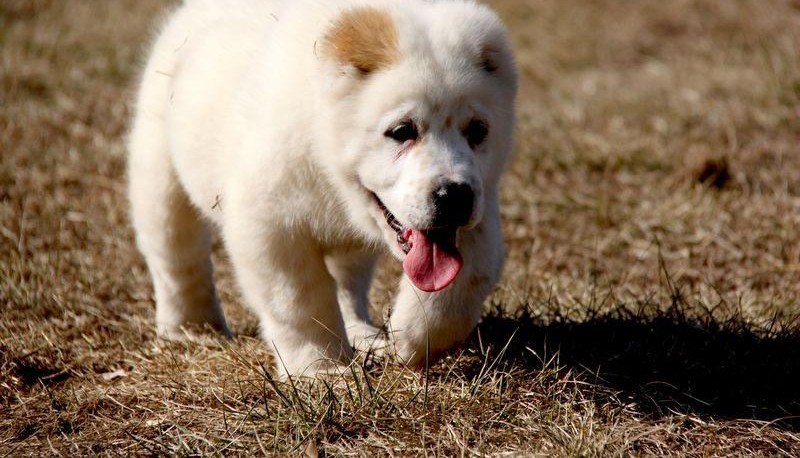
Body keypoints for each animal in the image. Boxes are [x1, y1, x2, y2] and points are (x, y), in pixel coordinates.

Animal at [130, 0, 520, 378]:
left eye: (478, 131)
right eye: (402, 131)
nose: (454, 197)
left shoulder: (480, 206)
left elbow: (467, 278)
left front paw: (413, 339)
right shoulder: (271, 223)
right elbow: (301, 301)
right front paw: (321, 367)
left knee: (349, 285)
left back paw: (365, 334)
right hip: (159, 175)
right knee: (177, 259)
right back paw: (192, 329)